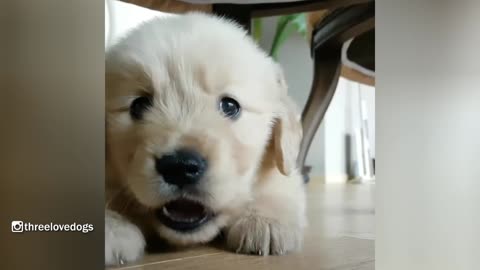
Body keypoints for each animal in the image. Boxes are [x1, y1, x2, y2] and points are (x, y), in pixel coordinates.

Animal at [105, 12, 308, 266]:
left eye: (230, 106)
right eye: (138, 105)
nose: (180, 167)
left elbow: (278, 184)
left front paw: (265, 220)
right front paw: (111, 228)